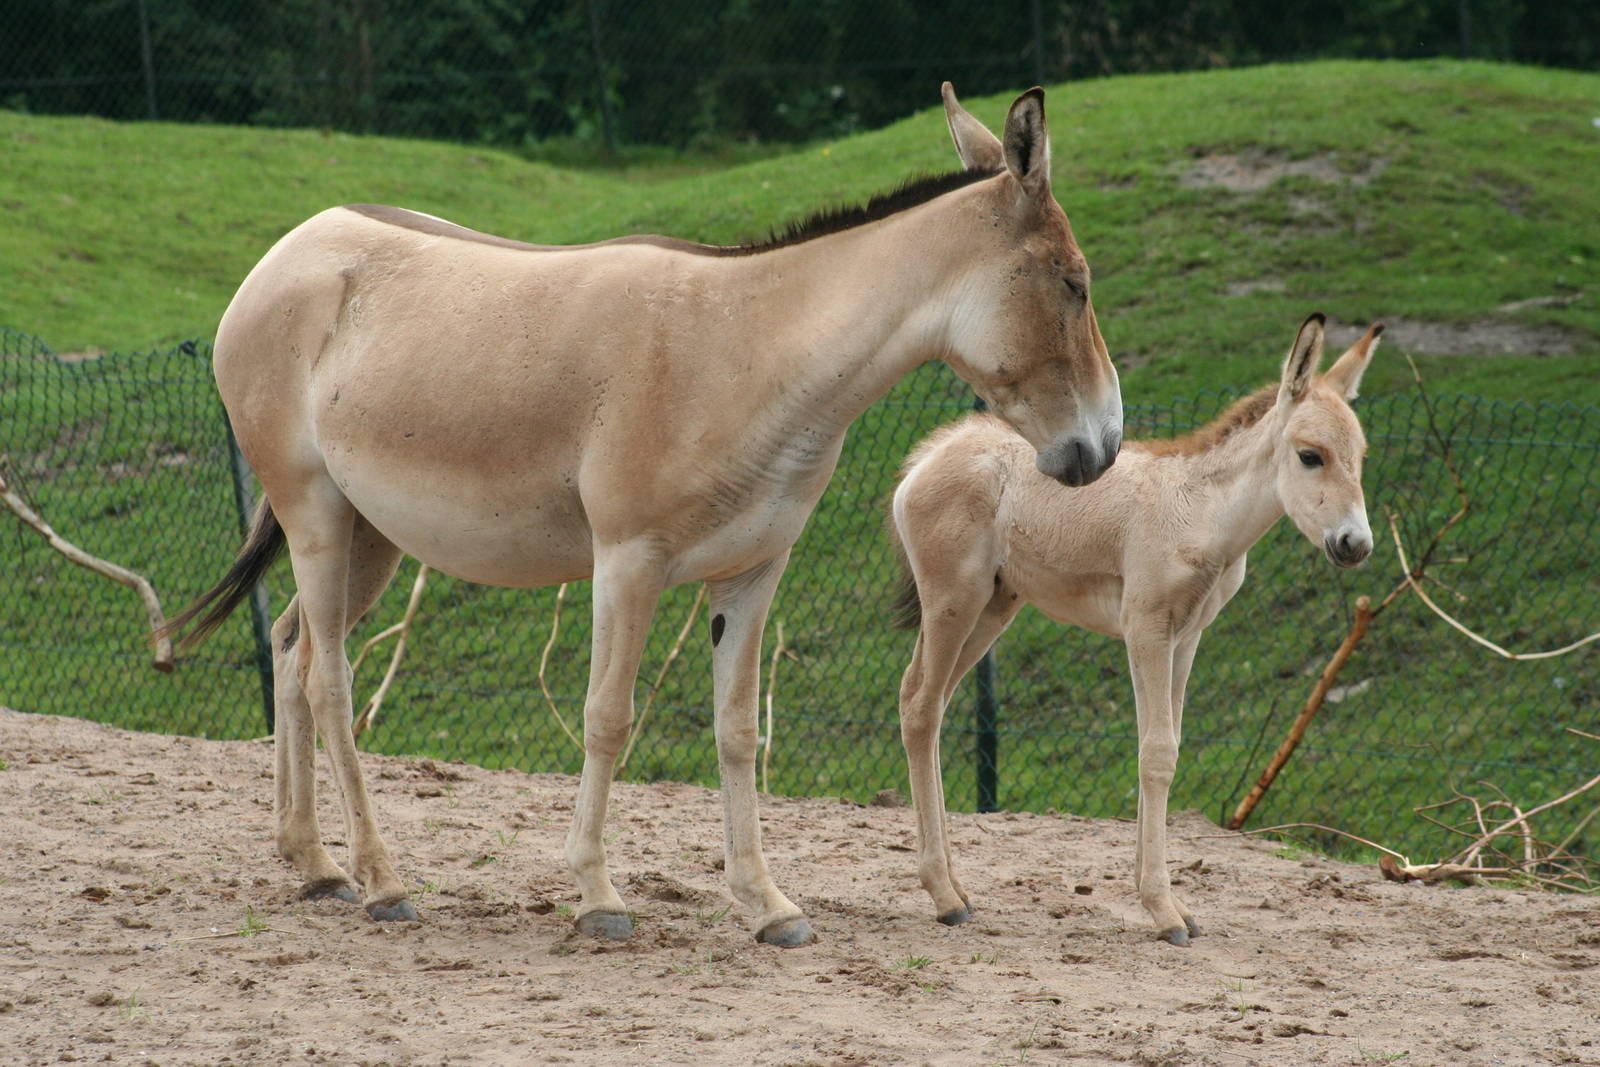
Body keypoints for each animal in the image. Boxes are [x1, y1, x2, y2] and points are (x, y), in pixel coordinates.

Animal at [164, 83, 1123, 947]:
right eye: (1075, 283)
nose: (1105, 445)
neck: (753, 351)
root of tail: (293, 245)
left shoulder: (754, 569)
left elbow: (738, 730)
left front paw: (768, 904)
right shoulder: (628, 561)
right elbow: (608, 716)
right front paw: (598, 895)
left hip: (372, 536)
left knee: (289, 647)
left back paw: (315, 862)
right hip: (315, 512)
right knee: (330, 678)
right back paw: (383, 881)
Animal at [888, 313, 1380, 944]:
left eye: (1359, 454)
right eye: (1310, 456)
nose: (1355, 544)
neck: (1205, 514)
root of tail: (926, 458)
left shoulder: (1187, 636)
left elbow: (1169, 743)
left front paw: (1169, 901)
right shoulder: (1146, 627)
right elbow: (1157, 753)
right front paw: (1163, 910)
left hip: (993, 607)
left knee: (926, 700)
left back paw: (956, 886)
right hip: (954, 600)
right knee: (921, 707)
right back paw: (944, 896)